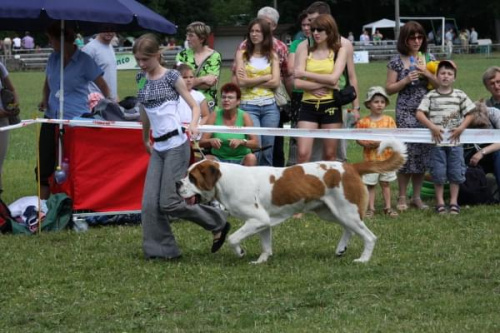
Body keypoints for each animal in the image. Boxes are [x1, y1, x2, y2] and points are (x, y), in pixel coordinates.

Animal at [180, 139, 406, 262]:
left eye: (192, 178)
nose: (177, 183)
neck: (225, 180)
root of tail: (351, 167)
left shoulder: (256, 219)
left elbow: (233, 238)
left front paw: (241, 252)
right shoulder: (263, 222)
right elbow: (266, 245)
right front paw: (261, 261)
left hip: (345, 211)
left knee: (369, 236)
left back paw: (363, 259)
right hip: (331, 212)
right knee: (349, 229)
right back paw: (341, 249)